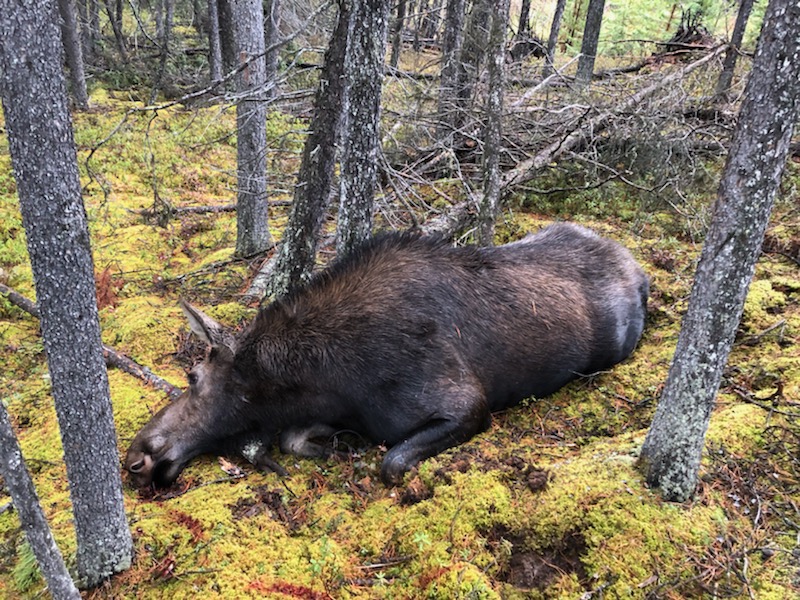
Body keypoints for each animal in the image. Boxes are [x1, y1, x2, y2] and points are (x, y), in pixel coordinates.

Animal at [125, 224, 648, 488]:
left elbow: (392, 463)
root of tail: (640, 268)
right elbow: (293, 440)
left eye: (194, 374)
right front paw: (333, 442)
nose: (136, 457)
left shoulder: (465, 403)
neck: (327, 381)